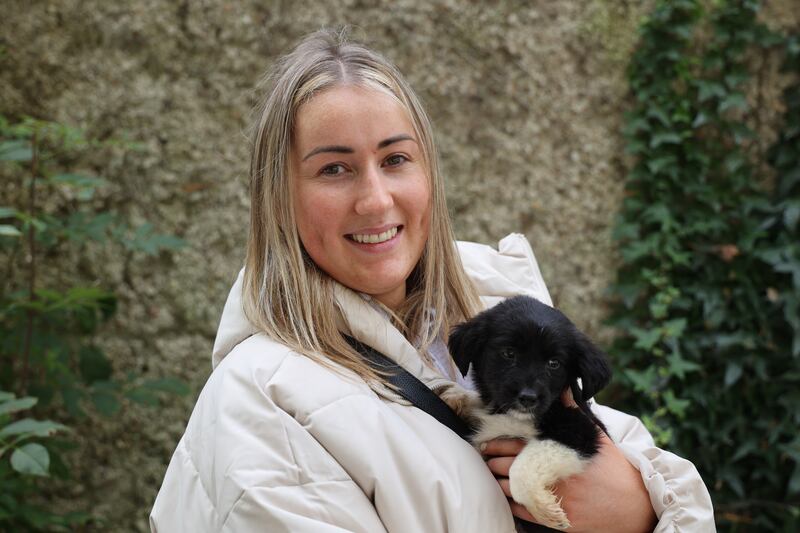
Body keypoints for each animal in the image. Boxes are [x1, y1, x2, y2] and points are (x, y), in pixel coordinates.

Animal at [446, 294, 608, 528]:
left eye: (554, 363)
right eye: (508, 353)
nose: (528, 398)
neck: (512, 416)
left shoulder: (581, 433)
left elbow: (521, 469)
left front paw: (545, 510)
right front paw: (457, 396)